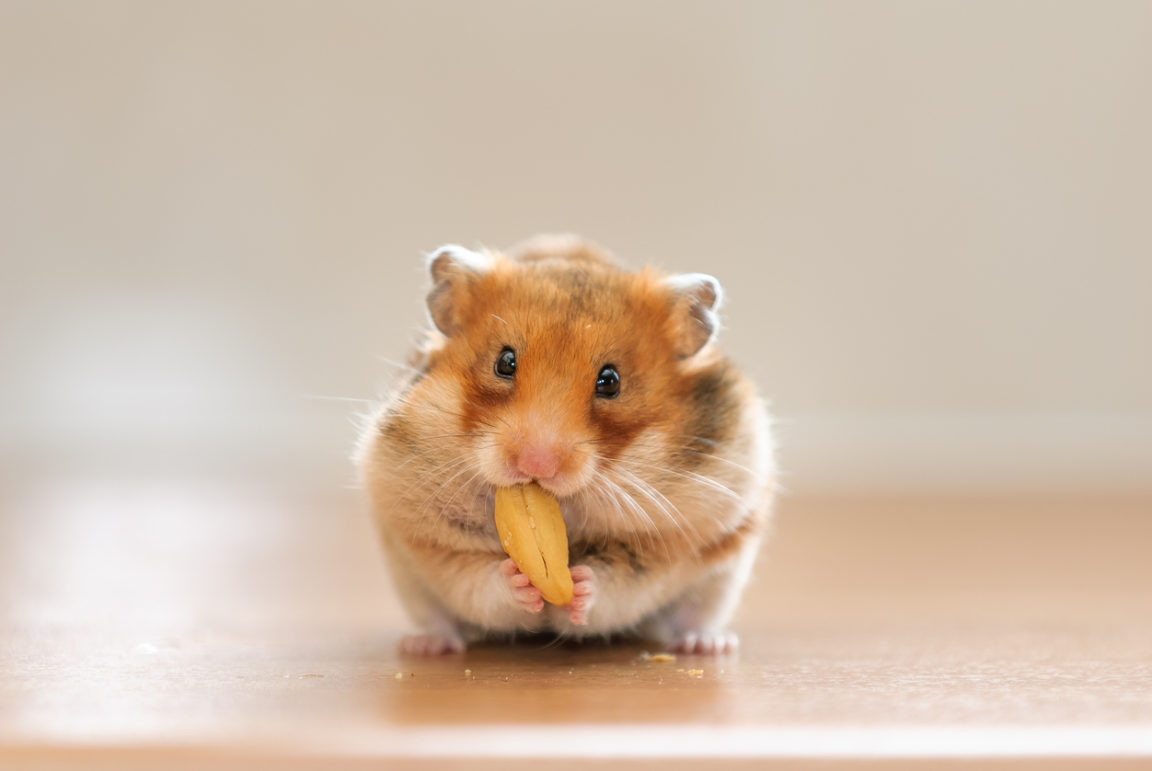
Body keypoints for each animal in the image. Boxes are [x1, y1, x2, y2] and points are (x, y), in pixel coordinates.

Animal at [356, 234, 775, 655]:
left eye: (611, 381)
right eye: (504, 362)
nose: (535, 466)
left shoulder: (670, 543)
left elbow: (619, 583)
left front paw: (580, 585)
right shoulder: (428, 537)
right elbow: (478, 578)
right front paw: (518, 580)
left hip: (721, 579)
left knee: (693, 616)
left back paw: (708, 645)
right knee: (438, 618)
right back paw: (425, 646)